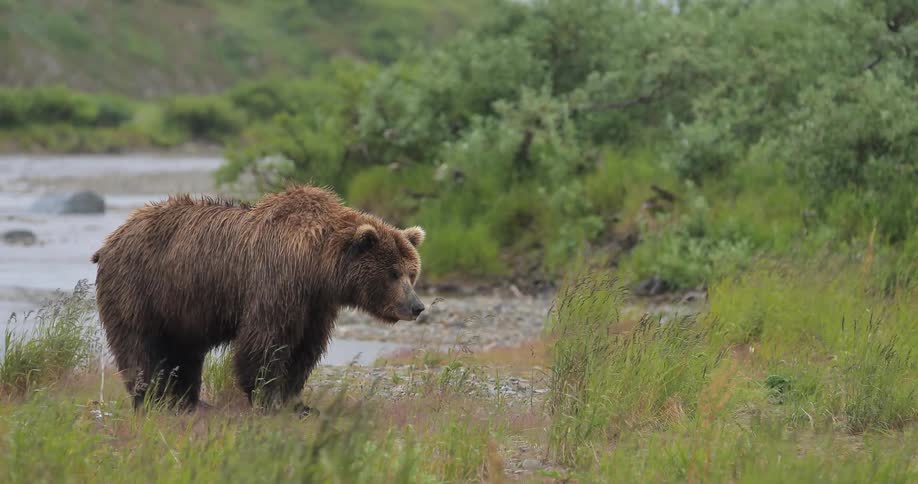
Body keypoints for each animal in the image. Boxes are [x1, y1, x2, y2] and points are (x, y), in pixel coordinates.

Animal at [92, 185, 426, 412]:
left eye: (412, 273)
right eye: (393, 273)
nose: (417, 307)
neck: (317, 267)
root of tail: (111, 238)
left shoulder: (316, 305)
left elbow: (305, 348)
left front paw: (297, 401)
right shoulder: (276, 283)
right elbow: (266, 342)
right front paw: (267, 397)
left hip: (180, 305)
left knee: (183, 351)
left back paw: (186, 401)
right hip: (139, 288)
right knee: (140, 345)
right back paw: (152, 398)